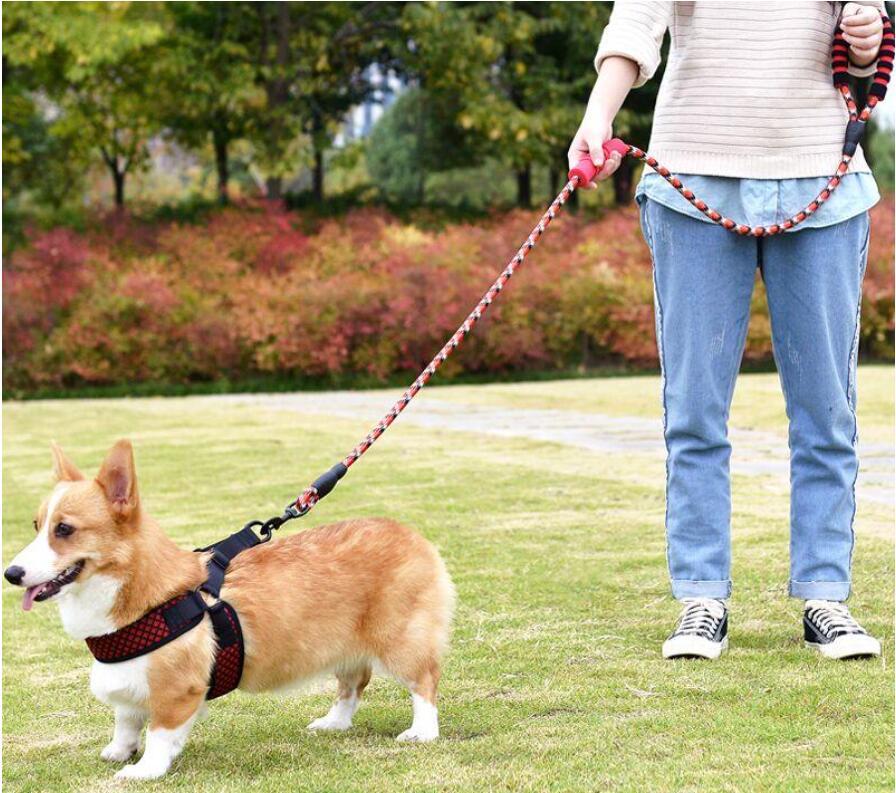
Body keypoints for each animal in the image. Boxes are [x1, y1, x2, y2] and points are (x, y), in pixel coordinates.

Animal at [5, 440, 456, 780]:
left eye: (65, 529)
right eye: (37, 526)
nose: (11, 574)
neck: (139, 591)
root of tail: (414, 536)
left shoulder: (177, 690)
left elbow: (159, 733)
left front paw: (144, 770)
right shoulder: (130, 682)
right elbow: (127, 719)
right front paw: (119, 750)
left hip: (401, 642)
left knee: (424, 684)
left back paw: (422, 732)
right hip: (343, 647)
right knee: (353, 684)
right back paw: (334, 723)